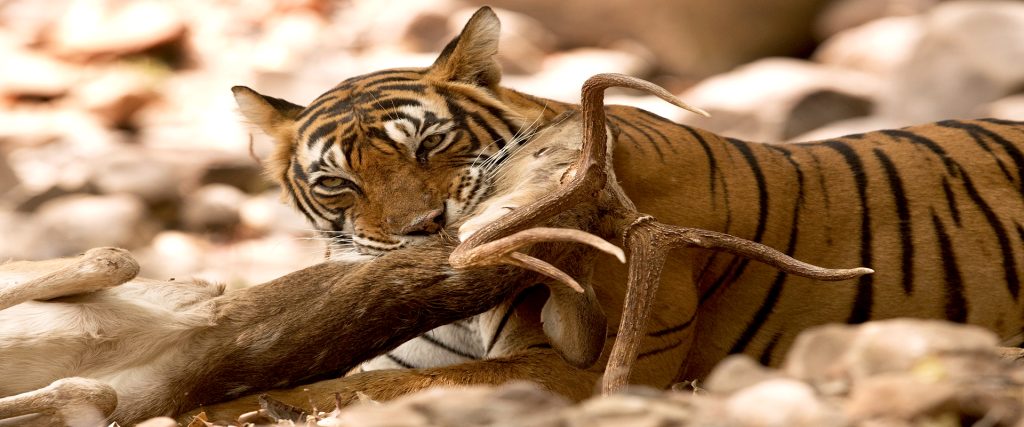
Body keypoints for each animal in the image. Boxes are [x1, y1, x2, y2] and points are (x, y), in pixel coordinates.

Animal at [219, 5, 1024, 420]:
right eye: (338, 184)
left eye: (431, 144)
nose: (424, 232)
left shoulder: (573, 369)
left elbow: (365, 390)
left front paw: (256, 403)